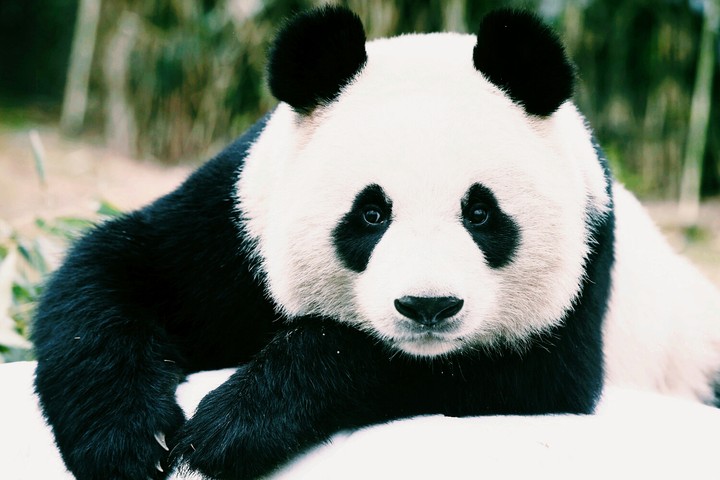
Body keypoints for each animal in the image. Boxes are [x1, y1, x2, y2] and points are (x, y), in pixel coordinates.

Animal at [32, 6, 720, 480]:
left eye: (481, 213)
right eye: (370, 214)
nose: (428, 308)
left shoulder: (584, 269)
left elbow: (511, 376)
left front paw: (232, 427)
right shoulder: (233, 226)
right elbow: (112, 273)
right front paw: (126, 443)